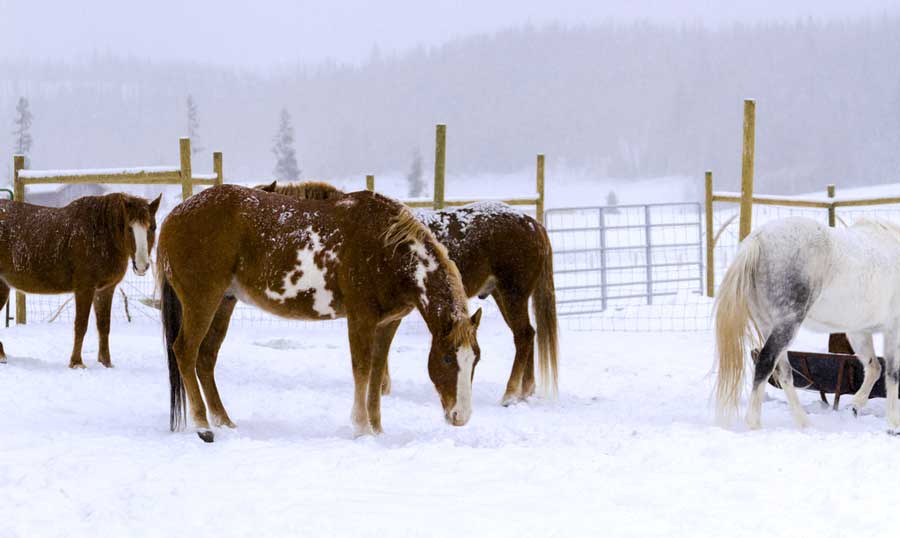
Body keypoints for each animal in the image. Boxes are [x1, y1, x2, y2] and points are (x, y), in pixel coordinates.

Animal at [0, 192, 161, 367]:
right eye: (129, 228)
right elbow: (81, 325)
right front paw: (76, 363)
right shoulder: (85, 289)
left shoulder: (105, 289)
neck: (101, 234)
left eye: (153, 227)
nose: (141, 266)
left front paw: (106, 363)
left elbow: (104, 326)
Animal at [158, 184, 482, 442]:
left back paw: (224, 421)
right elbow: (362, 370)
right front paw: (361, 428)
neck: (387, 248)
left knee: (205, 357)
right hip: (202, 301)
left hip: (224, 302)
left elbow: (377, 374)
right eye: (447, 358)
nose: (461, 416)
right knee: (185, 351)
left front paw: (377, 430)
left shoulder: (388, 323)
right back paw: (203, 426)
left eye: (475, 359)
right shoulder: (361, 318)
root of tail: (173, 216)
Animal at [258, 181, 559, 405]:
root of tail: (534, 224)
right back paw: (525, 391)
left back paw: (510, 394)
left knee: (523, 336)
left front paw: (381, 387)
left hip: (512, 294)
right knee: (528, 334)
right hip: (502, 295)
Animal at [715, 216, 900, 432]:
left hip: (769, 325)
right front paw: (894, 423)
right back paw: (754, 423)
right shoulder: (892, 329)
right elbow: (891, 373)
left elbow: (874, 367)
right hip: (788, 324)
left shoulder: (859, 331)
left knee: (783, 372)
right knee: (765, 363)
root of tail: (758, 239)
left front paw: (856, 405)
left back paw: (804, 422)